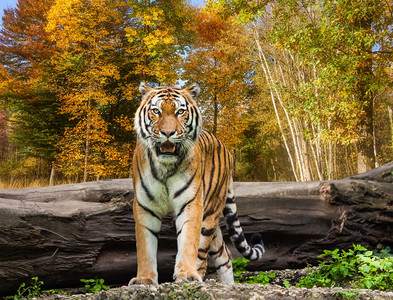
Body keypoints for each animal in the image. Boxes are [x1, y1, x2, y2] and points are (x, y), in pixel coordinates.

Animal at [129, 82, 264, 286]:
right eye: (156, 111)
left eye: (180, 111)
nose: (167, 133)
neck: (166, 167)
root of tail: (225, 148)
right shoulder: (145, 206)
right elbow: (145, 247)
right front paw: (144, 279)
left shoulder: (191, 203)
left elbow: (188, 242)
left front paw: (186, 273)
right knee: (225, 254)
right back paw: (227, 285)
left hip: (209, 213)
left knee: (204, 252)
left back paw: (198, 276)